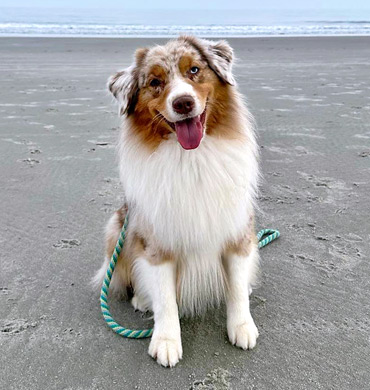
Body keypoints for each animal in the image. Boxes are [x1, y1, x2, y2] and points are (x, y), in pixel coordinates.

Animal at [94, 35, 258, 368]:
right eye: (155, 82)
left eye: (194, 69)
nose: (183, 102)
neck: (191, 159)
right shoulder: (157, 242)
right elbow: (166, 298)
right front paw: (166, 341)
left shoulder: (237, 230)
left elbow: (235, 286)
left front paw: (242, 326)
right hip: (118, 225)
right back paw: (143, 299)